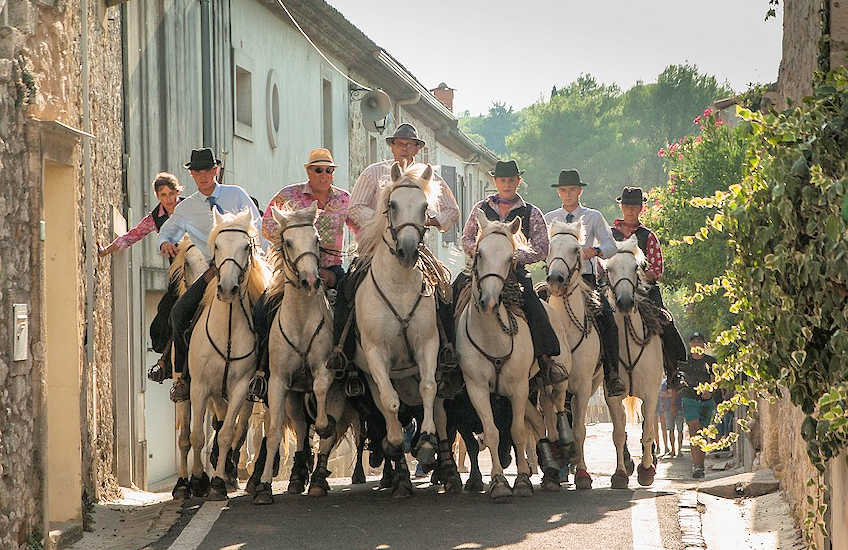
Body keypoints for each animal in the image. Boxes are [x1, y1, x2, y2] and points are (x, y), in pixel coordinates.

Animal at [187, 209, 270, 502]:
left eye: (246, 246)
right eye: (217, 246)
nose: (227, 288)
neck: (227, 332)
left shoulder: (240, 388)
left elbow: (226, 434)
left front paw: (218, 483)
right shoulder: (199, 387)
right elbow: (197, 436)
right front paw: (198, 481)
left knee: (238, 428)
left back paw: (235, 473)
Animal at [352, 162, 448, 498]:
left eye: (424, 207)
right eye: (392, 205)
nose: (407, 250)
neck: (399, 289)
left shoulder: (428, 346)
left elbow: (429, 389)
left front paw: (427, 442)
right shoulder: (375, 354)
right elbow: (390, 403)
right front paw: (393, 444)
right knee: (385, 403)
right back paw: (399, 474)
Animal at [600, 236, 664, 488]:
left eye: (637, 267)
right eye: (608, 269)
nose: (625, 302)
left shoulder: (651, 394)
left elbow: (648, 431)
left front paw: (646, 470)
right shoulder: (612, 396)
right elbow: (618, 432)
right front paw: (619, 474)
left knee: (651, 423)